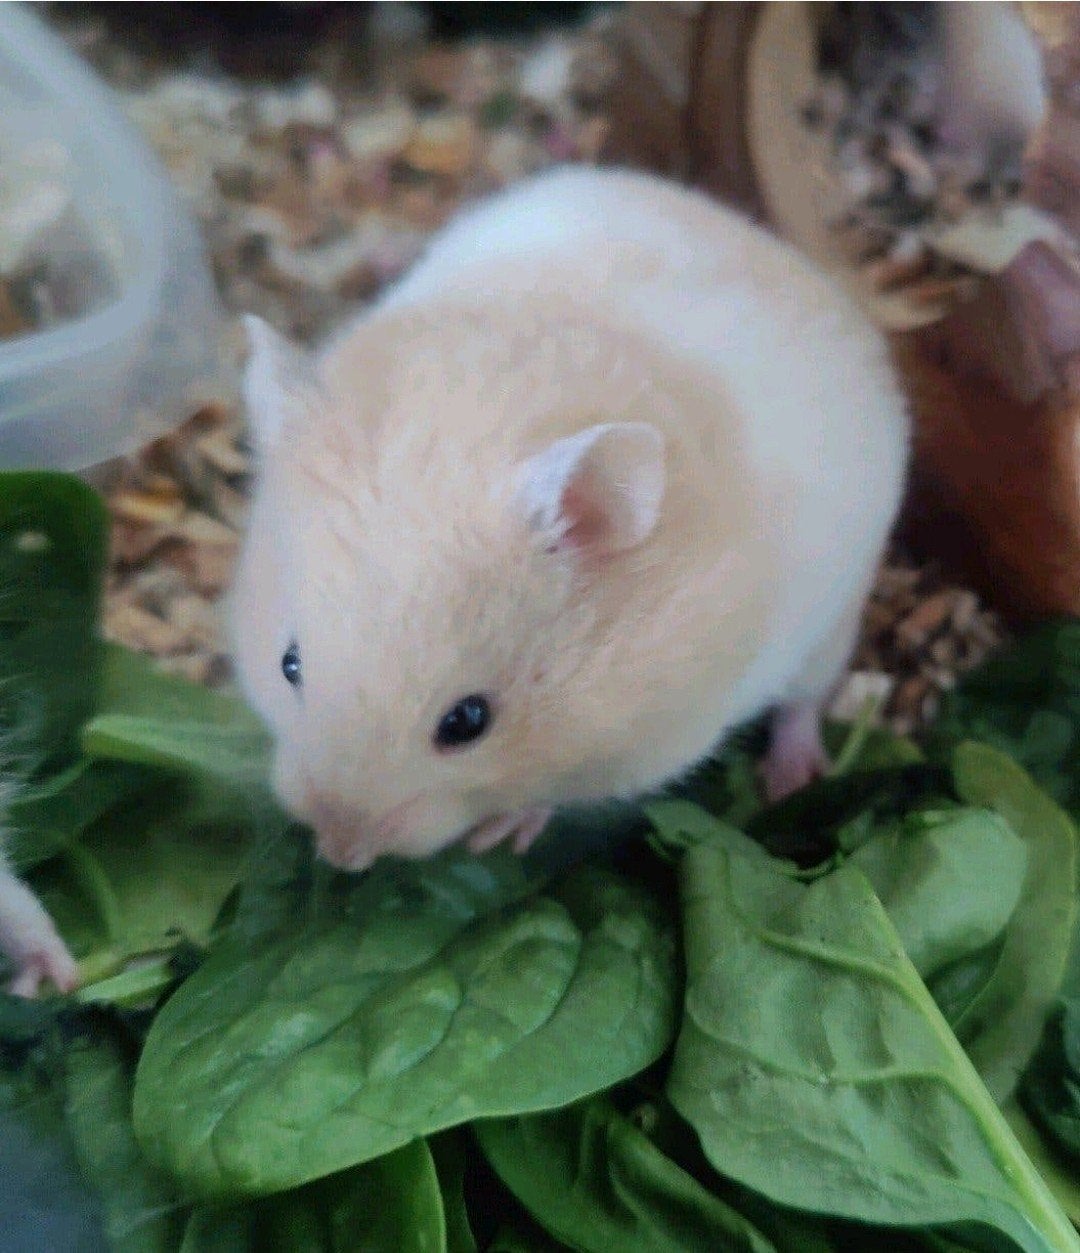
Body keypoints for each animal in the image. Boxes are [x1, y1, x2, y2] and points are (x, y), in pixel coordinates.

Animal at [229, 166, 910, 872]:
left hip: (831, 628)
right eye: (289, 665)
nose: (340, 854)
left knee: (803, 702)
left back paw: (792, 780)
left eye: (467, 722)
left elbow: (556, 793)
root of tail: (781, 250)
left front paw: (503, 832)